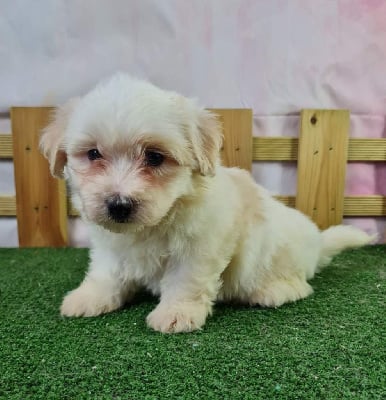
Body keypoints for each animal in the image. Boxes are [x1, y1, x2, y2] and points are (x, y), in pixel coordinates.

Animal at [40, 73, 374, 332]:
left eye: (154, 157)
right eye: (93, 154)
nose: (119, 205)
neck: (155, 223)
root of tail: (317, 244)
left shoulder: (199, 246)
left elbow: (185, 280)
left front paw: (176, 313)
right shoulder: (110, 245)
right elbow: (106, 272)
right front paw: (89, 297)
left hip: (277, 250)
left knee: (299, 283)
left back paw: (274, 290)